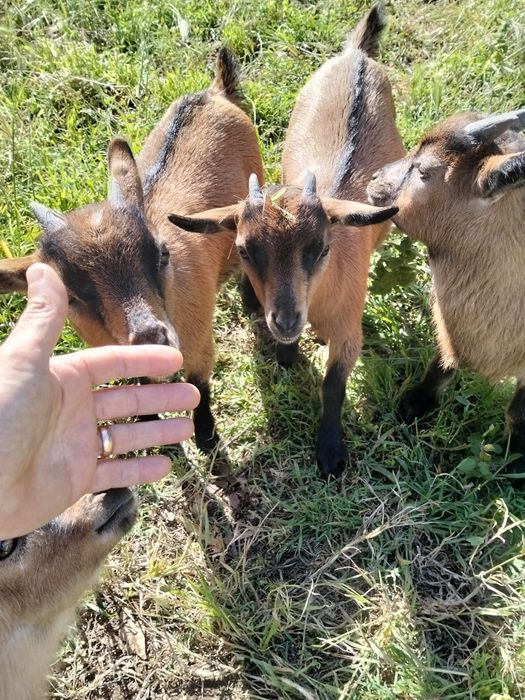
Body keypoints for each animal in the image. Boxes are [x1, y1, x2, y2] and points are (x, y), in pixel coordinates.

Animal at [0, 48, 264, 452]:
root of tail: (214, 92)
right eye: (71, 296)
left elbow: (200, 387)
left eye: (161, 254)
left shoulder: (200, 342)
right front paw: (147, 423)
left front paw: (207, 437)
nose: (152, 338)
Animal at [167, 4, 403, 477]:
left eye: (322, 248)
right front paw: (287, 359)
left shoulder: (348, 331)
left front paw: (330, 453)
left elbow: (334, 386)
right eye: (244, 249)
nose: (287, 319)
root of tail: (358, 55)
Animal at [367, 108, 525, 474]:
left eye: (424, 171)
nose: (374, 178)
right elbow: (441, 364)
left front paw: (514, 460)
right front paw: (413, 406)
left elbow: (517, 414)